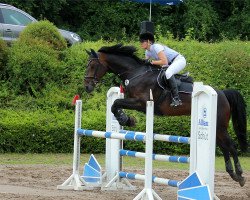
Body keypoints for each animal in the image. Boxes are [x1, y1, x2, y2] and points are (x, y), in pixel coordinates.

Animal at [83, 44, 247, 188]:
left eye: (92, 66)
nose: (87, 87)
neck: (135, 73)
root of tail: (222, 93)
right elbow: (115, 104)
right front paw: (126, 119)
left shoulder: (142, 102)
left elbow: (116, 102)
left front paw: (126, 119)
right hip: (217, 129)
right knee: (224, 146)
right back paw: (232, 173)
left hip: (220, 125)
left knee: (231, 146)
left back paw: (240, 175)